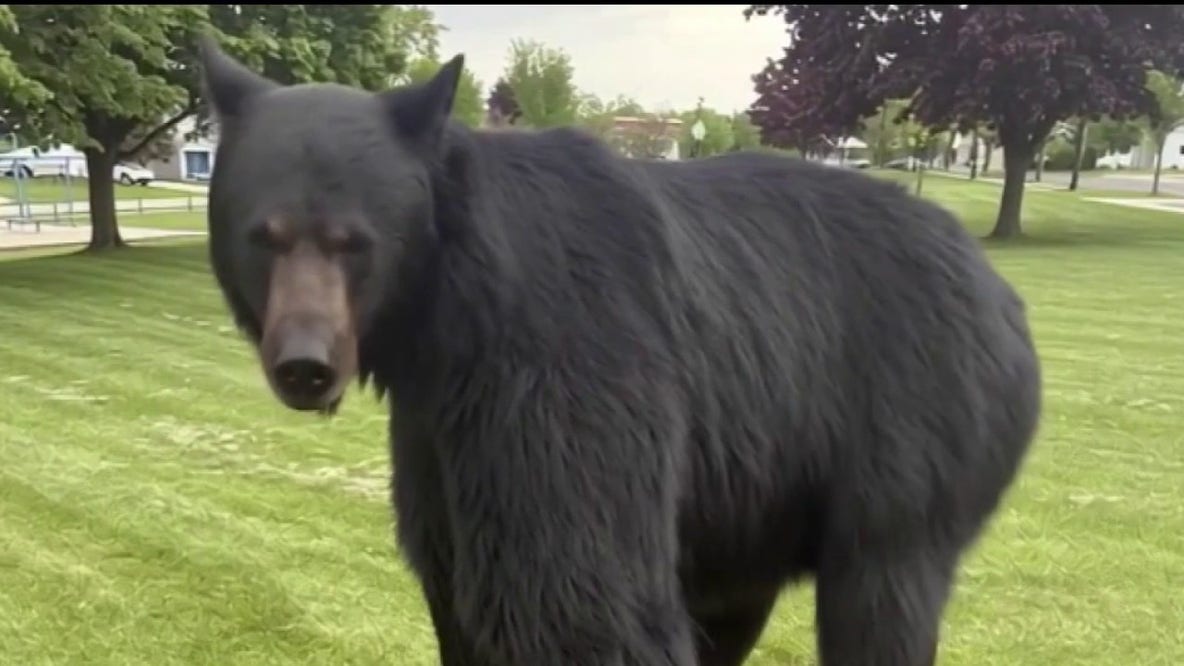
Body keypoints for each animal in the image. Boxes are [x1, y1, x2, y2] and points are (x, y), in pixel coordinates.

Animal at [197, 36, 1042, 666]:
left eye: (356, 241)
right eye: (265, 236)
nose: (305, 365)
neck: (444, 315)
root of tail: (1001, 292)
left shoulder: (561, 366)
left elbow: (584, 600)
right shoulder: (436, 435)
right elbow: (455, 590)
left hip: (917, 433)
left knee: (881, 593)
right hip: (752, 503)